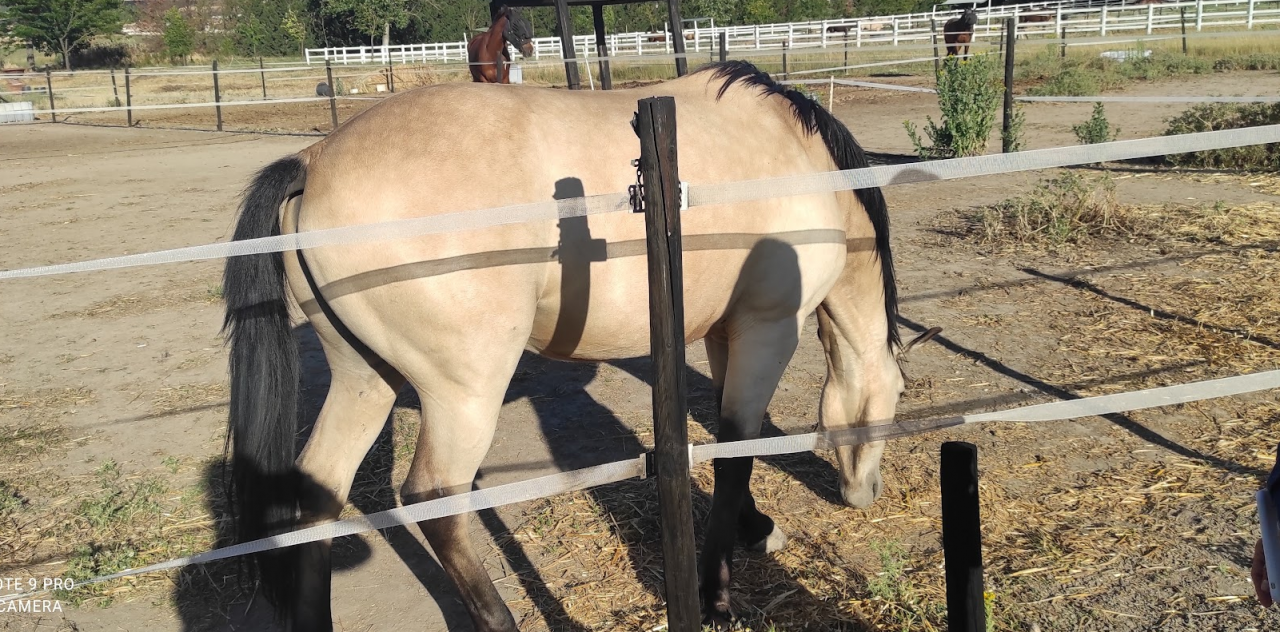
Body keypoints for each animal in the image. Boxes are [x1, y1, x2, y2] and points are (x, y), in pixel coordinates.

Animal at [223, 60, 930, 631]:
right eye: (897, 393)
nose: (866, 493)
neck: (799, 159)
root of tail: (315, 162)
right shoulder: (768, 328)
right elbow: (736, 450)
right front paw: (716, 595)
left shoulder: (726, 332)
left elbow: (733, 439)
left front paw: (754, 530)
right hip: (463, 393)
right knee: (434, 501)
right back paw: (500, 620)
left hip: (365, 378)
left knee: (316, 501)